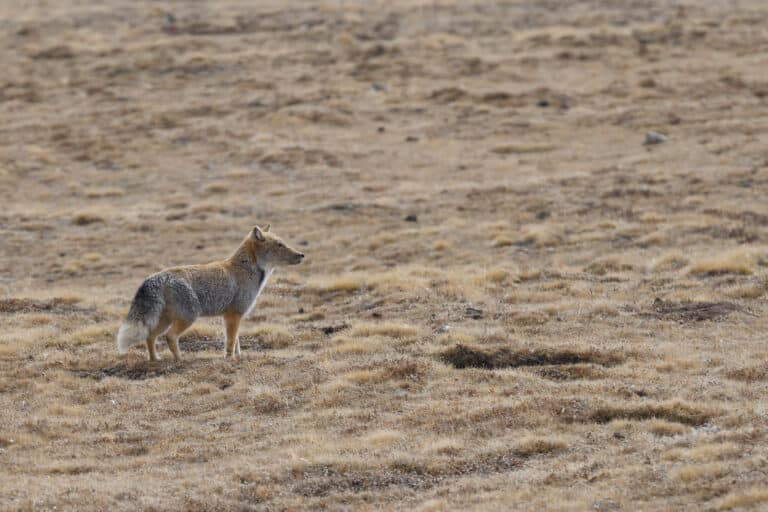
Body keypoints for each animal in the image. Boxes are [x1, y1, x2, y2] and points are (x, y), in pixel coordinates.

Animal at [116, 225, 304, 361]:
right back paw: (180, 359)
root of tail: (158, 276)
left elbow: (236, 340)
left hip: (166, 320)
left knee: (150, 336)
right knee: (170, 337)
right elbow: (230, 341)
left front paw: (239, 356)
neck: (247, 269)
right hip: (188, 317)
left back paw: (155, 359)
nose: (301, 255)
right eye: (280, 245)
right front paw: (229, 358)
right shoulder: (233, 315)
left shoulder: (232, 316)